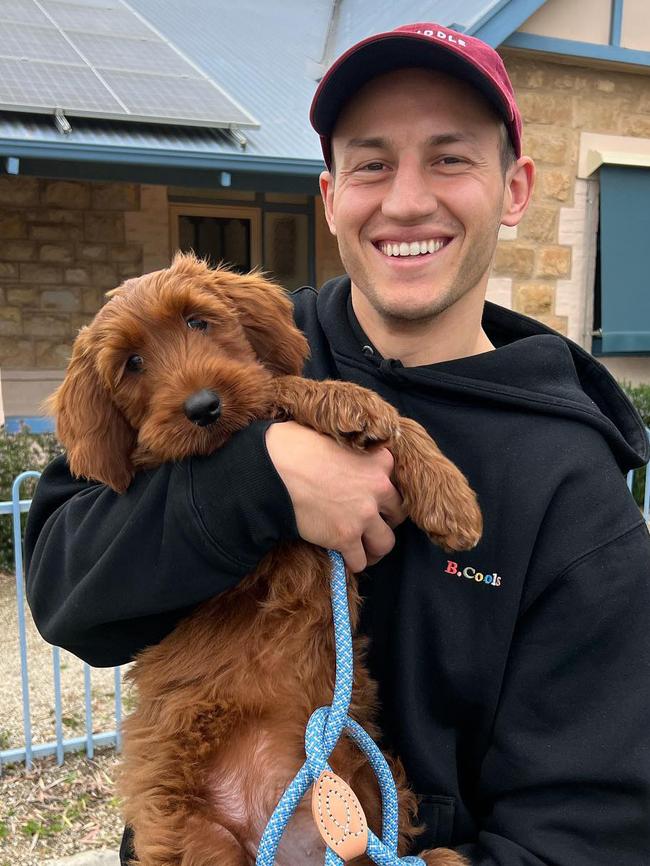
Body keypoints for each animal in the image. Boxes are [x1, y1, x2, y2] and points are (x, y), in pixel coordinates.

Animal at [49, 251, 476, 864]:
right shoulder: (169, 464)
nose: (203, 407)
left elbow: (293, 391)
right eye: (132, 363)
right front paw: (352, 402)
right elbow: (279, 392)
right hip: (201, 839)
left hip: (371, 801)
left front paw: (450, 496)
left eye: (198, 321)